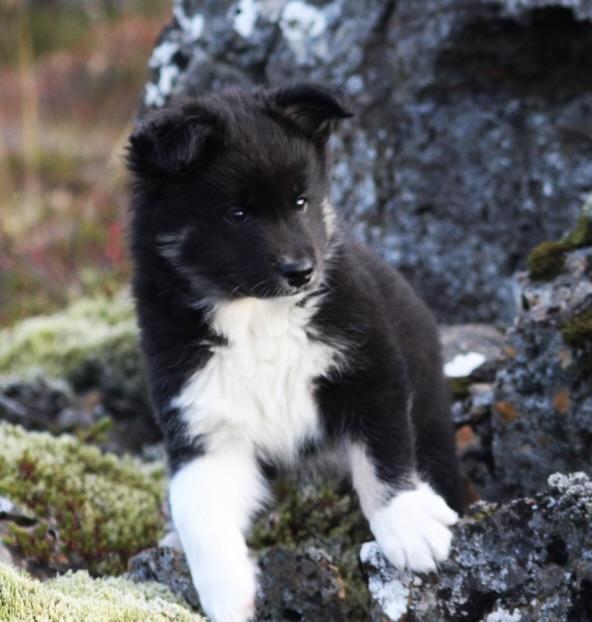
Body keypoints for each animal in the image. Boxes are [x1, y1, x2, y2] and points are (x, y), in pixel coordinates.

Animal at [127, 85, 464, 622]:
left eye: (301, 201)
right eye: (237, 213)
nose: (302, 272)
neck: (256, 317)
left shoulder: (370, 371)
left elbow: (384, 452)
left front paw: (407, 524)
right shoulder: (203, 425)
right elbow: (197, 512)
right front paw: (228, 596)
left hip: (429, 404)